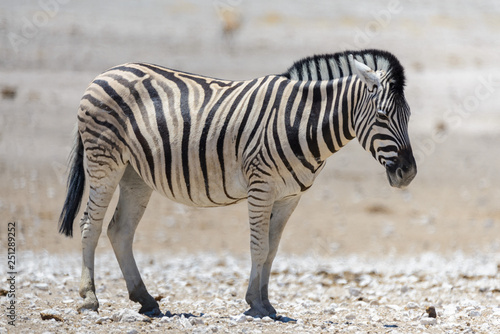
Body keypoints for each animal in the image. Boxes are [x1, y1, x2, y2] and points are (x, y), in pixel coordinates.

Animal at [59, 49, 418, 318]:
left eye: (409, 116)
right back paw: (89, 298)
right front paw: (256, 304)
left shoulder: (289, 196)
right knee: (90, 224)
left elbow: (272, 249)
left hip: (135, 174)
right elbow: (258, 247)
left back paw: (145, 299)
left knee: (120, 230)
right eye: (383, 116)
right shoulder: (261, 186)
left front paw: (267, 303)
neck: (301, 121)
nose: (409, 173)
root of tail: (107, 72)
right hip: (104, 161)